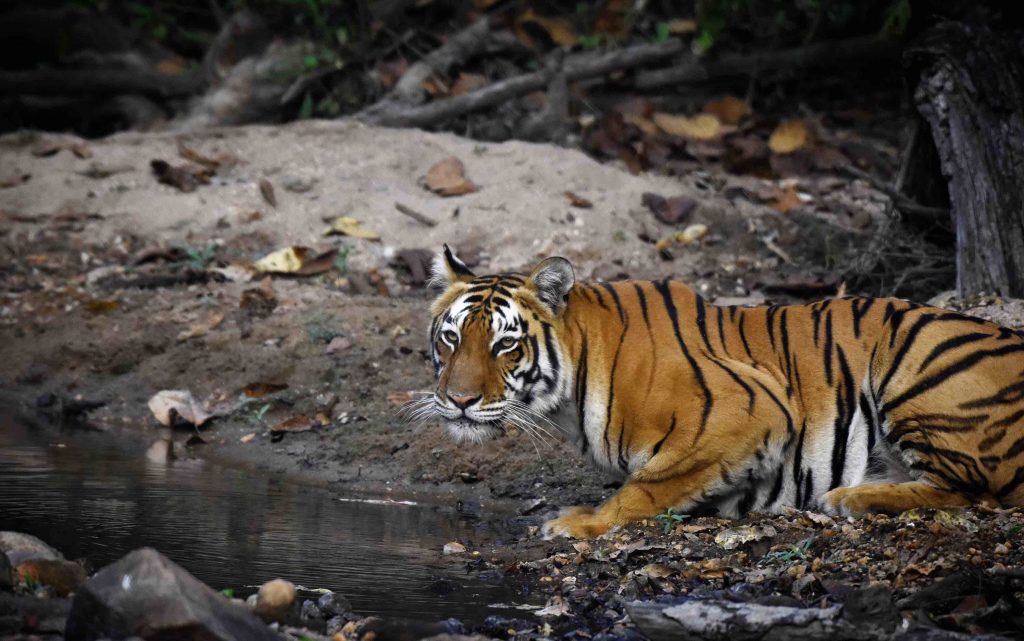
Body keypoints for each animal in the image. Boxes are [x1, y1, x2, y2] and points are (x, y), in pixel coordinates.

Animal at [411, 243, 1024, 532]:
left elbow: (649, 485)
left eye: (505, 345)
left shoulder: (753, 407)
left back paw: (850, 498)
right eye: (451, 338)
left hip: (916, 359)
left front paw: (581, 523)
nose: (459, 400)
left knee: (975, 490)